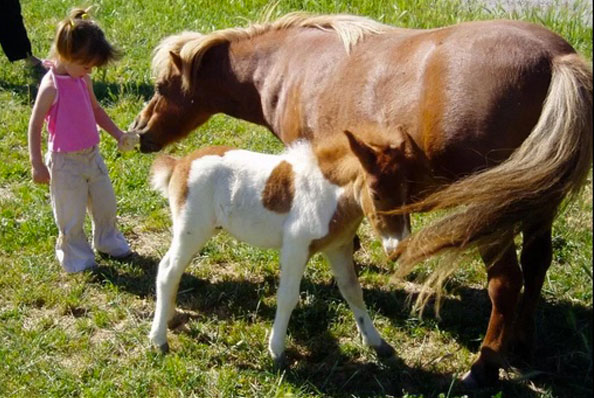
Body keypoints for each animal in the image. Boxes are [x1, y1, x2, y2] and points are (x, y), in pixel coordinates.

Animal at [148, 131, 414, 366]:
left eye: (408, 192)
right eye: (375, 193)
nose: (399, 247)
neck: (331, 196)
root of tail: (180, 164)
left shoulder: (339, 247)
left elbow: (352, 290)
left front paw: (377, 342)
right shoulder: (295, 247)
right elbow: (287, 297)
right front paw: (277, 352)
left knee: (175, 272)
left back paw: (170, 316)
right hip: (192, 230)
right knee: (167, 270)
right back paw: (158, 339)